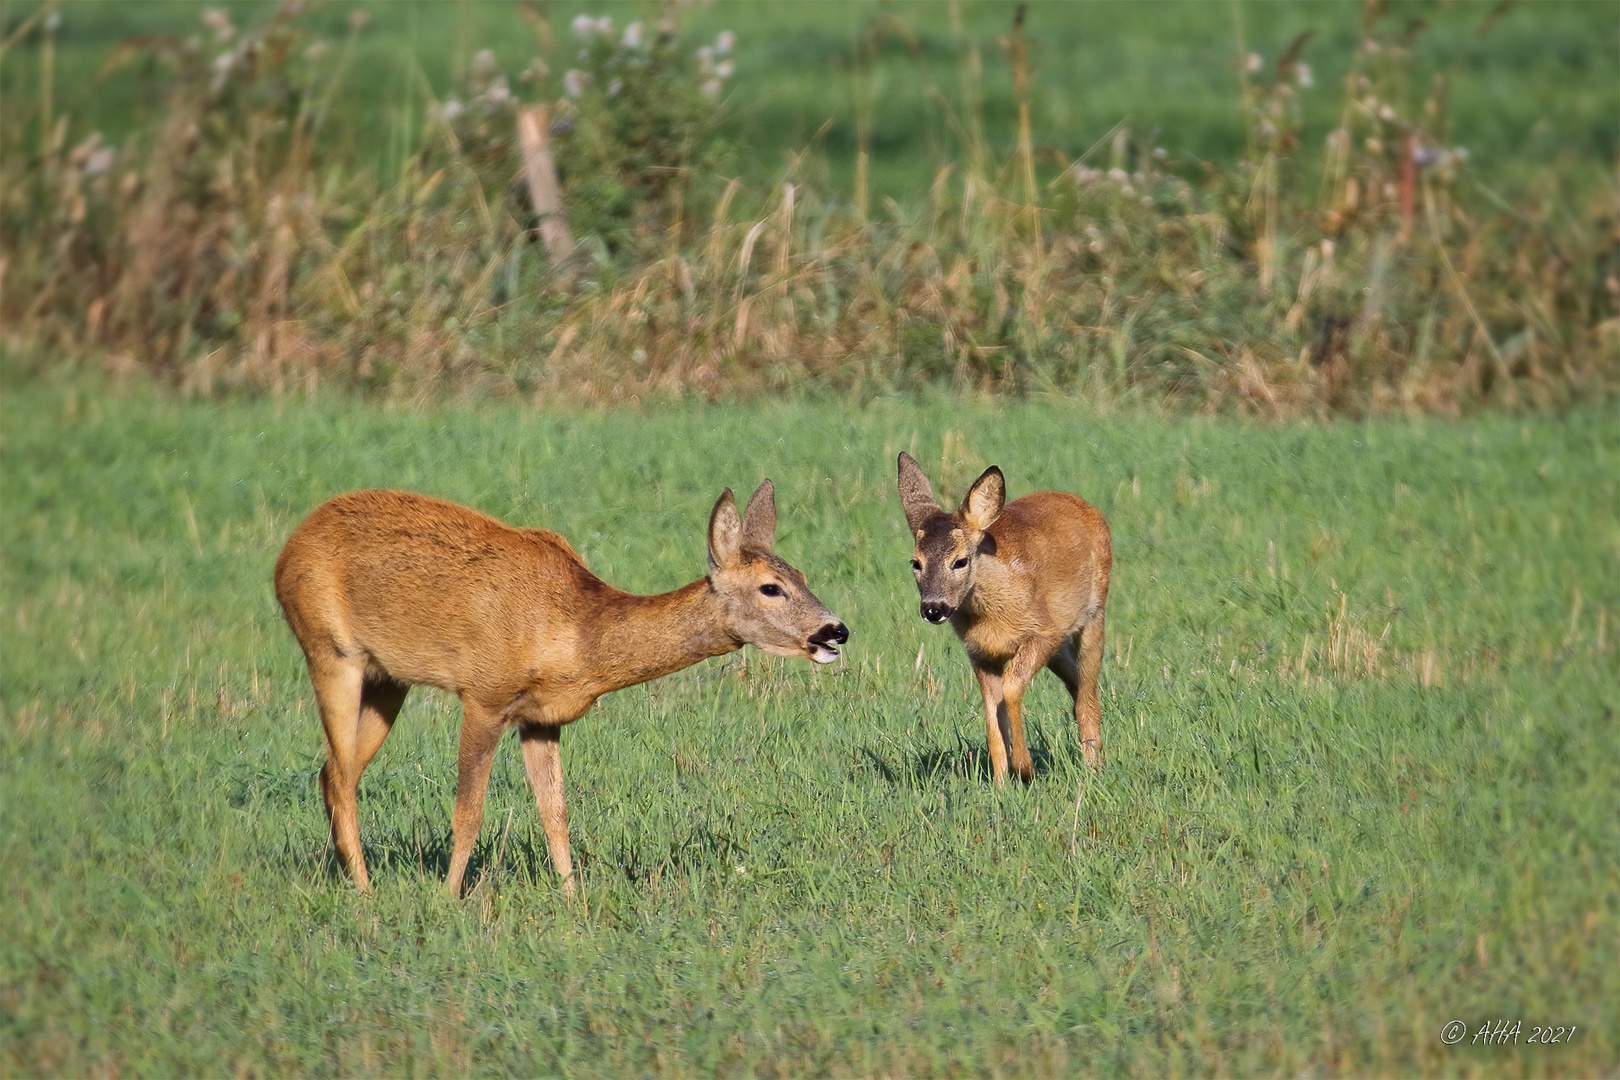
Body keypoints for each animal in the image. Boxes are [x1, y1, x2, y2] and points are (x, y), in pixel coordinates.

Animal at [273, 482, 848, 893]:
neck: (576, 635)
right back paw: (366, 894)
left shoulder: (542, 717)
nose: (835, 631)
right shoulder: (484, 695)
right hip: (330, 650)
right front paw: (448, 900)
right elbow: (468, 813)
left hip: (387, 678)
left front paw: (575, 903)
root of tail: (286, 551)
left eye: (801, 574)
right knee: (340, 775)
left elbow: (556, 813)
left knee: (333, 771)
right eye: (770, 587)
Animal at [900, 453, 1114, 780]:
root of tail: (1085, 505)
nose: (933, 609)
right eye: (916, 562)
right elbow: (992, 712)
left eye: (960, 561)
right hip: (1060, 648)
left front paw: (1025, 768)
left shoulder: (1044, 631)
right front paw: (1001, 780)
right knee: (1076, 684)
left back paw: (1093, 766)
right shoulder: (980, 653)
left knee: (1087, 695)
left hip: (1093, 615)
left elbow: (1011, 690)